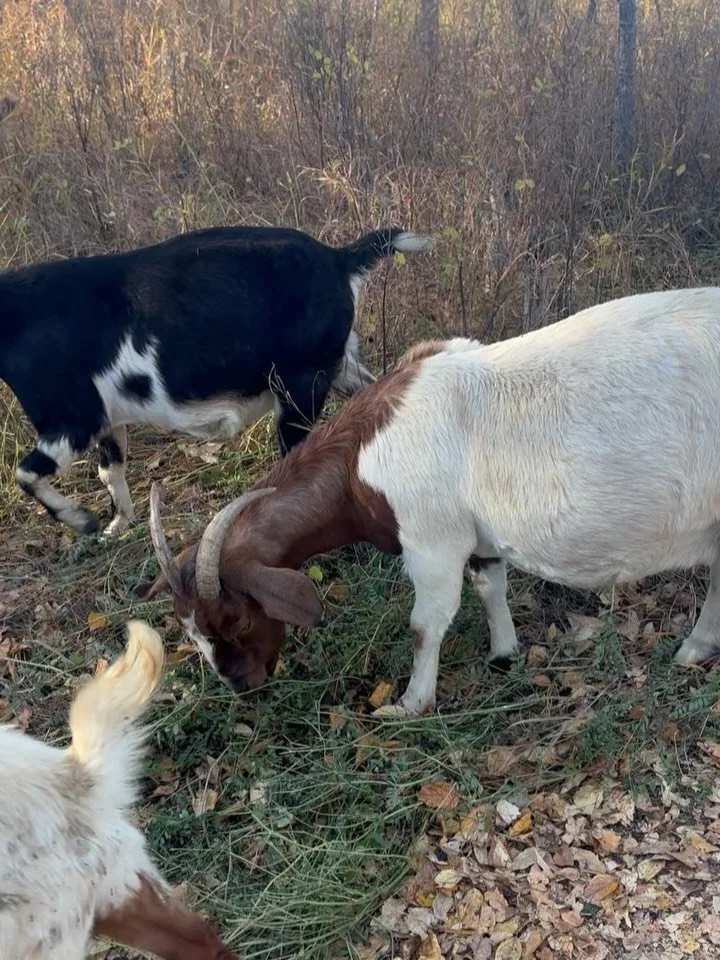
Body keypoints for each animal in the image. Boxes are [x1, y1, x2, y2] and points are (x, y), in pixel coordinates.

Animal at [1, 224, 432, 536]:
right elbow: (111, 471)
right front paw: (114, 527)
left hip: (300, 383)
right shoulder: (109, 420)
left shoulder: (74, 419)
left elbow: (25, 473)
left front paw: (82, 521)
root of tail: (338, 259)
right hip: (339, 367)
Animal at [146, 287, 720, 714]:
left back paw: (693, 649)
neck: (359, 459)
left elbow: (426, 624)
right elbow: (491, 586)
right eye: (191, 632)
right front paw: (504, 653)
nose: (244, 686)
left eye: (237, 621)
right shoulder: (480, 537)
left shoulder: (431, 542)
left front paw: (409, 703)